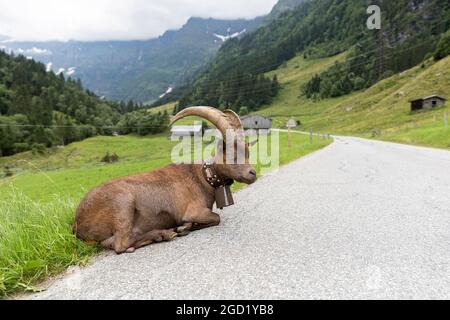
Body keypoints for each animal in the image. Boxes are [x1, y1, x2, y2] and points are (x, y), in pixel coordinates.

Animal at [73, 106, 256, 254]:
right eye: (232, 155)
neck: (203, 177)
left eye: (247, 152)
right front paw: (183, 227)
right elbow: (215, 218)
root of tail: (77, 224)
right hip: (123, 204)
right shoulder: (192, 210)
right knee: (120, 243)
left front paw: (184, 227)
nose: (252, 173)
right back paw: (163, 234)